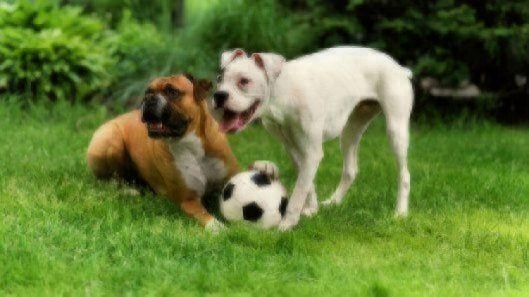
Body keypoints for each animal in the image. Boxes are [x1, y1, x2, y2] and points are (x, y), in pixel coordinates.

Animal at [87, 74, 239, 229]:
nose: (148, 99)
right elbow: (209, 219)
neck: (191, 146)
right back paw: (129, 190)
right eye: (147, 92)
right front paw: (222, 229)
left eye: (172, 92)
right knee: (108, 180)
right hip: (111, 139)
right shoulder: (189, 201)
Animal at [212, 46, 410, 231]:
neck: (284, 93)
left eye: (244, 81)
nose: (219, 96)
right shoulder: (294, 149)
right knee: (350, 170)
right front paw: (312, 210)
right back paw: (333, 202)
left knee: (404, 175)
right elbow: (307, 184)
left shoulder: (312, 153)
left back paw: (400, 213)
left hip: (395, 132)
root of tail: (400, 68)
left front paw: (286, 225)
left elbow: (299, 192)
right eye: (219, 78)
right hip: (349, 132)